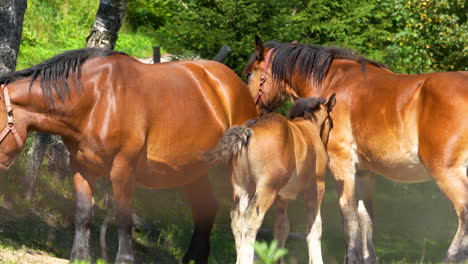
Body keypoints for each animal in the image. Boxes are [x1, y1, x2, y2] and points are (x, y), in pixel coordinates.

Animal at [0, 48, 258, 262]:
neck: (97, 101)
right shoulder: (81, 168)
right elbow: (83, 213)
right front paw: (80, 256)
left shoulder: (123, 169)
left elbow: (123, 217)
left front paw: (124, 258)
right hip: (195, 171)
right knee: (205, 211)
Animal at [206, 95, 336, 264]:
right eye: (331, 124)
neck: (308, 127)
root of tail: (249, 131)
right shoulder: (316, 189)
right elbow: (315, 227)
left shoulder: (281, 197)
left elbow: (281, 228)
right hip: (266, 189)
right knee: (251, 219)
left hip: (242, 189)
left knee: (237, 219)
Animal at [243, 37, 466, 264]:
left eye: (250, 74)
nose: (251, 112)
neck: (334, 82)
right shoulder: (363, 172)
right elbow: (364, 215)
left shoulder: (342, 164)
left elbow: (348, 212)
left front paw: (351, 256)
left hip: (446, 171)